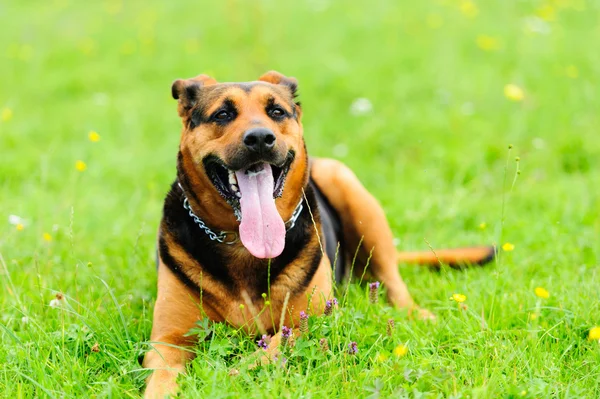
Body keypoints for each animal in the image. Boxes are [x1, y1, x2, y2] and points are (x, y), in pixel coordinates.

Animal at [143, 70, 494, 398]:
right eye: (223, 114)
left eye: (277, 112)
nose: (260, 138)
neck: (240, 243)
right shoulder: (168, 340)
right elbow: (160, 379)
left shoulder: (312, 320)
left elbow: (264, 353)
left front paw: (226, 378)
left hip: (347, 186)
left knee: (394, 282)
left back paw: (419, 315)